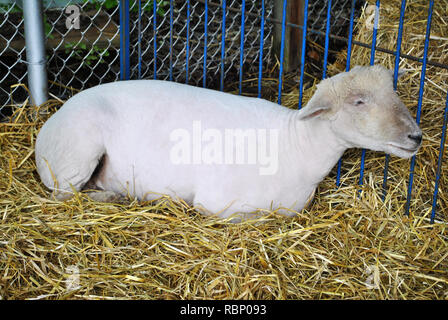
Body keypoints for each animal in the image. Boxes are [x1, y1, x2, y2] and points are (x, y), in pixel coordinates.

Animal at [36, 65, 424, 220]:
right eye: (359, 101)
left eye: (393, 92)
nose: (416, 136)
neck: (295, 144)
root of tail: (47, 125)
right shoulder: (215, 202)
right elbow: (254, 219)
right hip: (77, 153)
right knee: (64, 197)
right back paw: (113, 196)